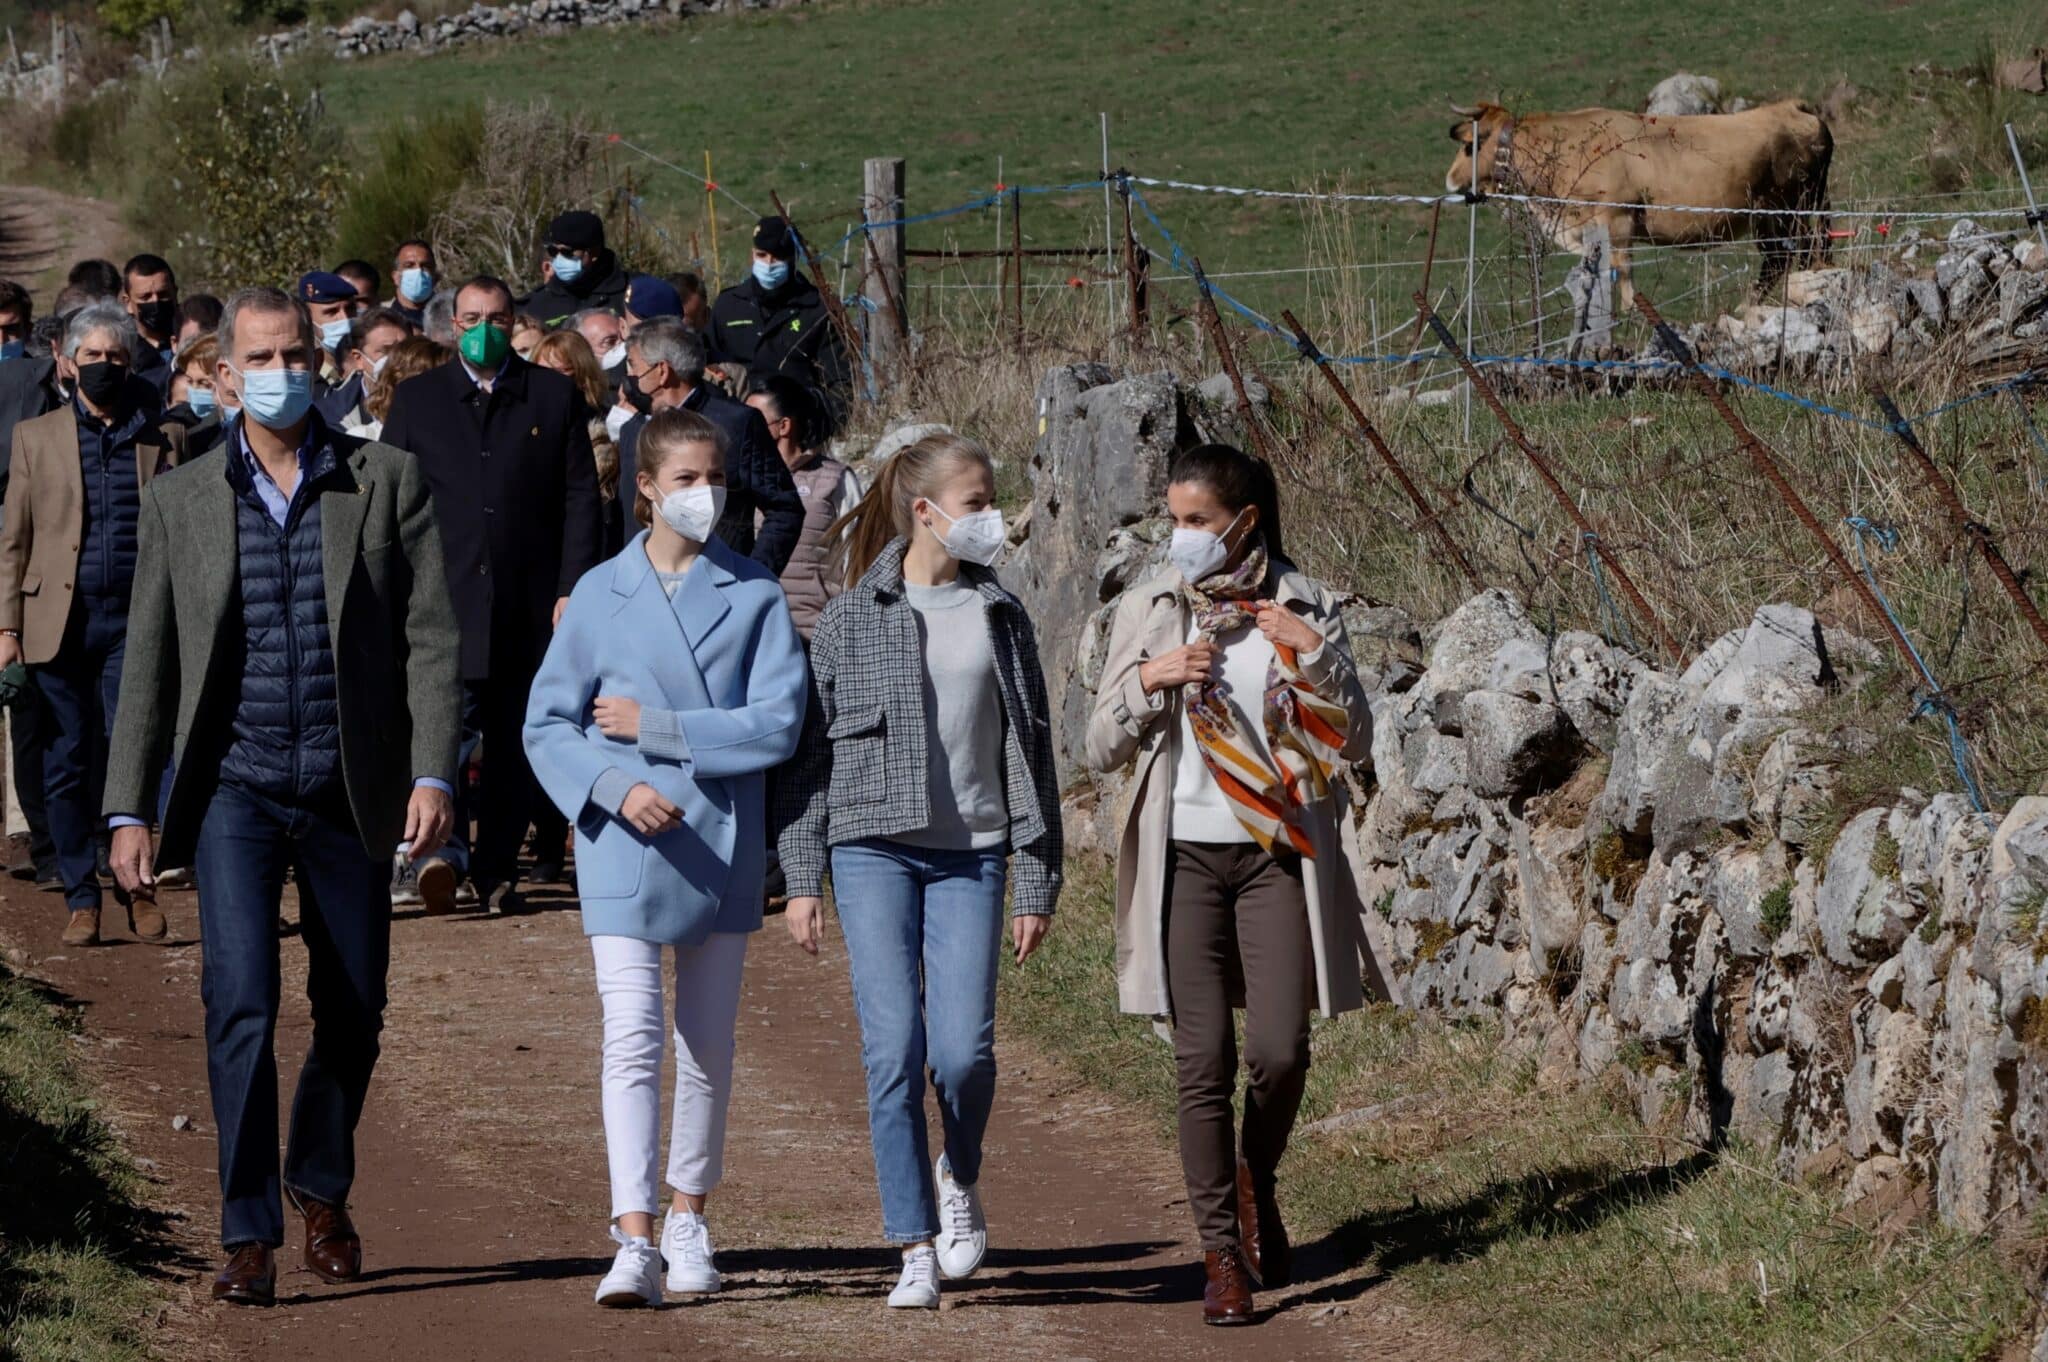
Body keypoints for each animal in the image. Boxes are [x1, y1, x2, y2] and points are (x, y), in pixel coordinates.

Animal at [1441, 99, 1843, 307]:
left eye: (1470, 145)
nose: (1449, 180)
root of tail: (1793, 107)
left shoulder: (1616, 219)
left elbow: (1623, 273)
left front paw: (1631, 313)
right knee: (1789, 258)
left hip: (1786, 209)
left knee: (1794, 254)